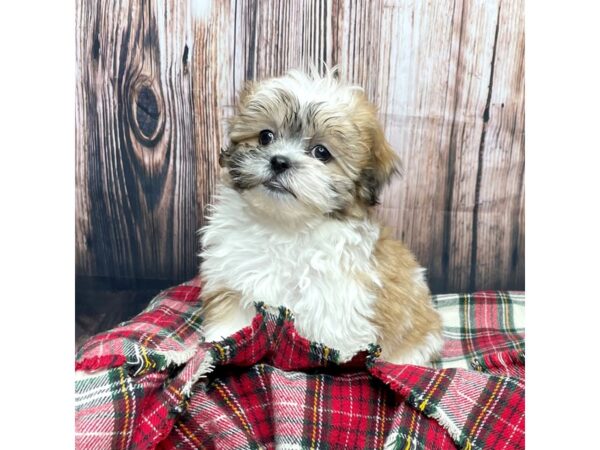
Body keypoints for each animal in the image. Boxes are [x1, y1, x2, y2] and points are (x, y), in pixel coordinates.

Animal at [199, 69, 442, 366]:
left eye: (321, 152)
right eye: (266, 137)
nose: (279, 161)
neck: (284, 227)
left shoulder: (335, 301)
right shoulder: (234, 283)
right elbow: (234, 324)